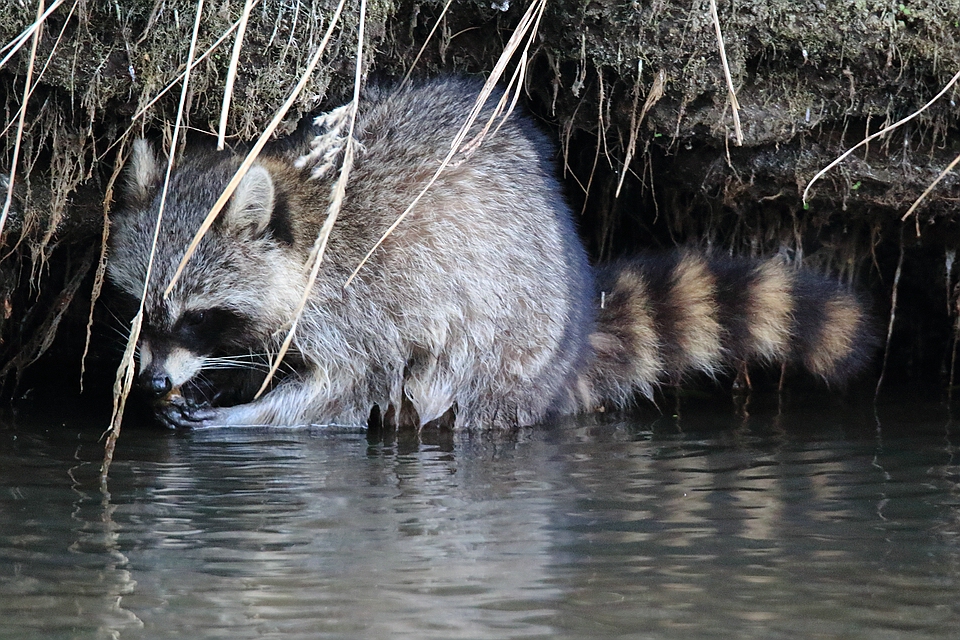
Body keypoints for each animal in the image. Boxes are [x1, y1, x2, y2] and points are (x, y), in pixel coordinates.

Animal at [107, 79, 876, 430]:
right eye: (142, 307)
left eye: (199, 316)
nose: (149, 380)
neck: (304, 222)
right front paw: (222, 383)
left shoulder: (361, 305)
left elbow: (346, 390)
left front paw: (245, 416)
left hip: (505, 354)